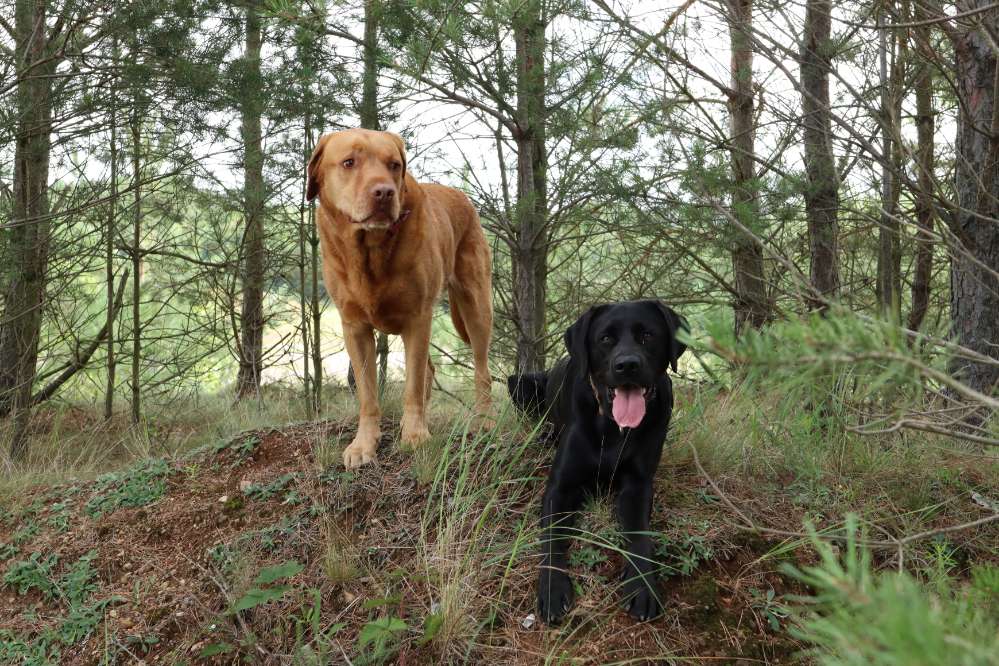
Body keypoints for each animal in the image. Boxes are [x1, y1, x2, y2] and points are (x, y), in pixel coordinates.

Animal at [304, 127, 492, 464]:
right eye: (349, 162)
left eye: (393, 165)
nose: (384, 192)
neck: (370, 250)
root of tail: (460, 195)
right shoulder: (355, 327)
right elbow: (368, 394)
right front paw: (364, 444)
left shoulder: (417, 318)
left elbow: (412, 386)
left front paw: (415, 435)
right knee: (430, 370)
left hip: (476, 305)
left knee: (482, 371)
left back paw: (484, 421)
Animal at [508, 300, 688, 624]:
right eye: (605, 338)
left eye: (647, 335)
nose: (627, 365)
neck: (613, 428)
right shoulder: (560, 488)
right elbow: (552, 538)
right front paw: (553, 589)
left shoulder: (638, 485)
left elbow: (640, 536)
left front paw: (642, 586)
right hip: (519, 382)